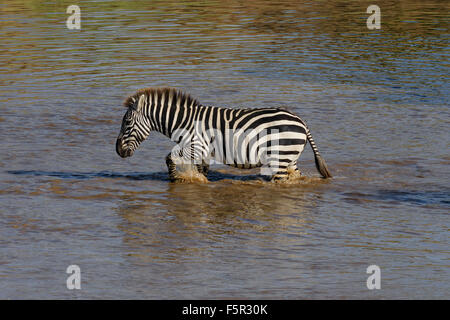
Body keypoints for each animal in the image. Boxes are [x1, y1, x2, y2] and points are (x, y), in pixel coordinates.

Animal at [116, 87, 330, 182]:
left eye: (127, 123)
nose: (118, 151)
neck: (185, 123)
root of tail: (301, 122)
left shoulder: (195, 146)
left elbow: (169, 158)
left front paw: (176, 180)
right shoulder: (201, 152)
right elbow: (201, 170)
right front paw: (198, 180)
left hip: (281, 158)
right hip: (289, 158)